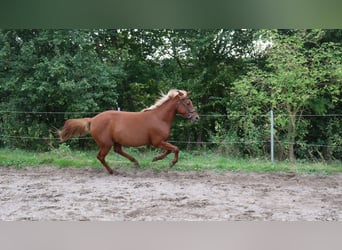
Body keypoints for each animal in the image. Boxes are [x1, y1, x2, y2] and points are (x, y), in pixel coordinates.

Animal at [57, 89, 199, 174]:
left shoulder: (163, 141)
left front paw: (156, 159)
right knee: (101, 156)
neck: (160, 118)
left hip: (115, 141)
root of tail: (92, 119)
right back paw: (112, 171)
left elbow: (170, 150)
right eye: (188, 102)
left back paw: (135, 162)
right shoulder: (158, 142)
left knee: (118, 151)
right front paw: (170, 163)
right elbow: (176, 149)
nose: (196, 117)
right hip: (106, 144)